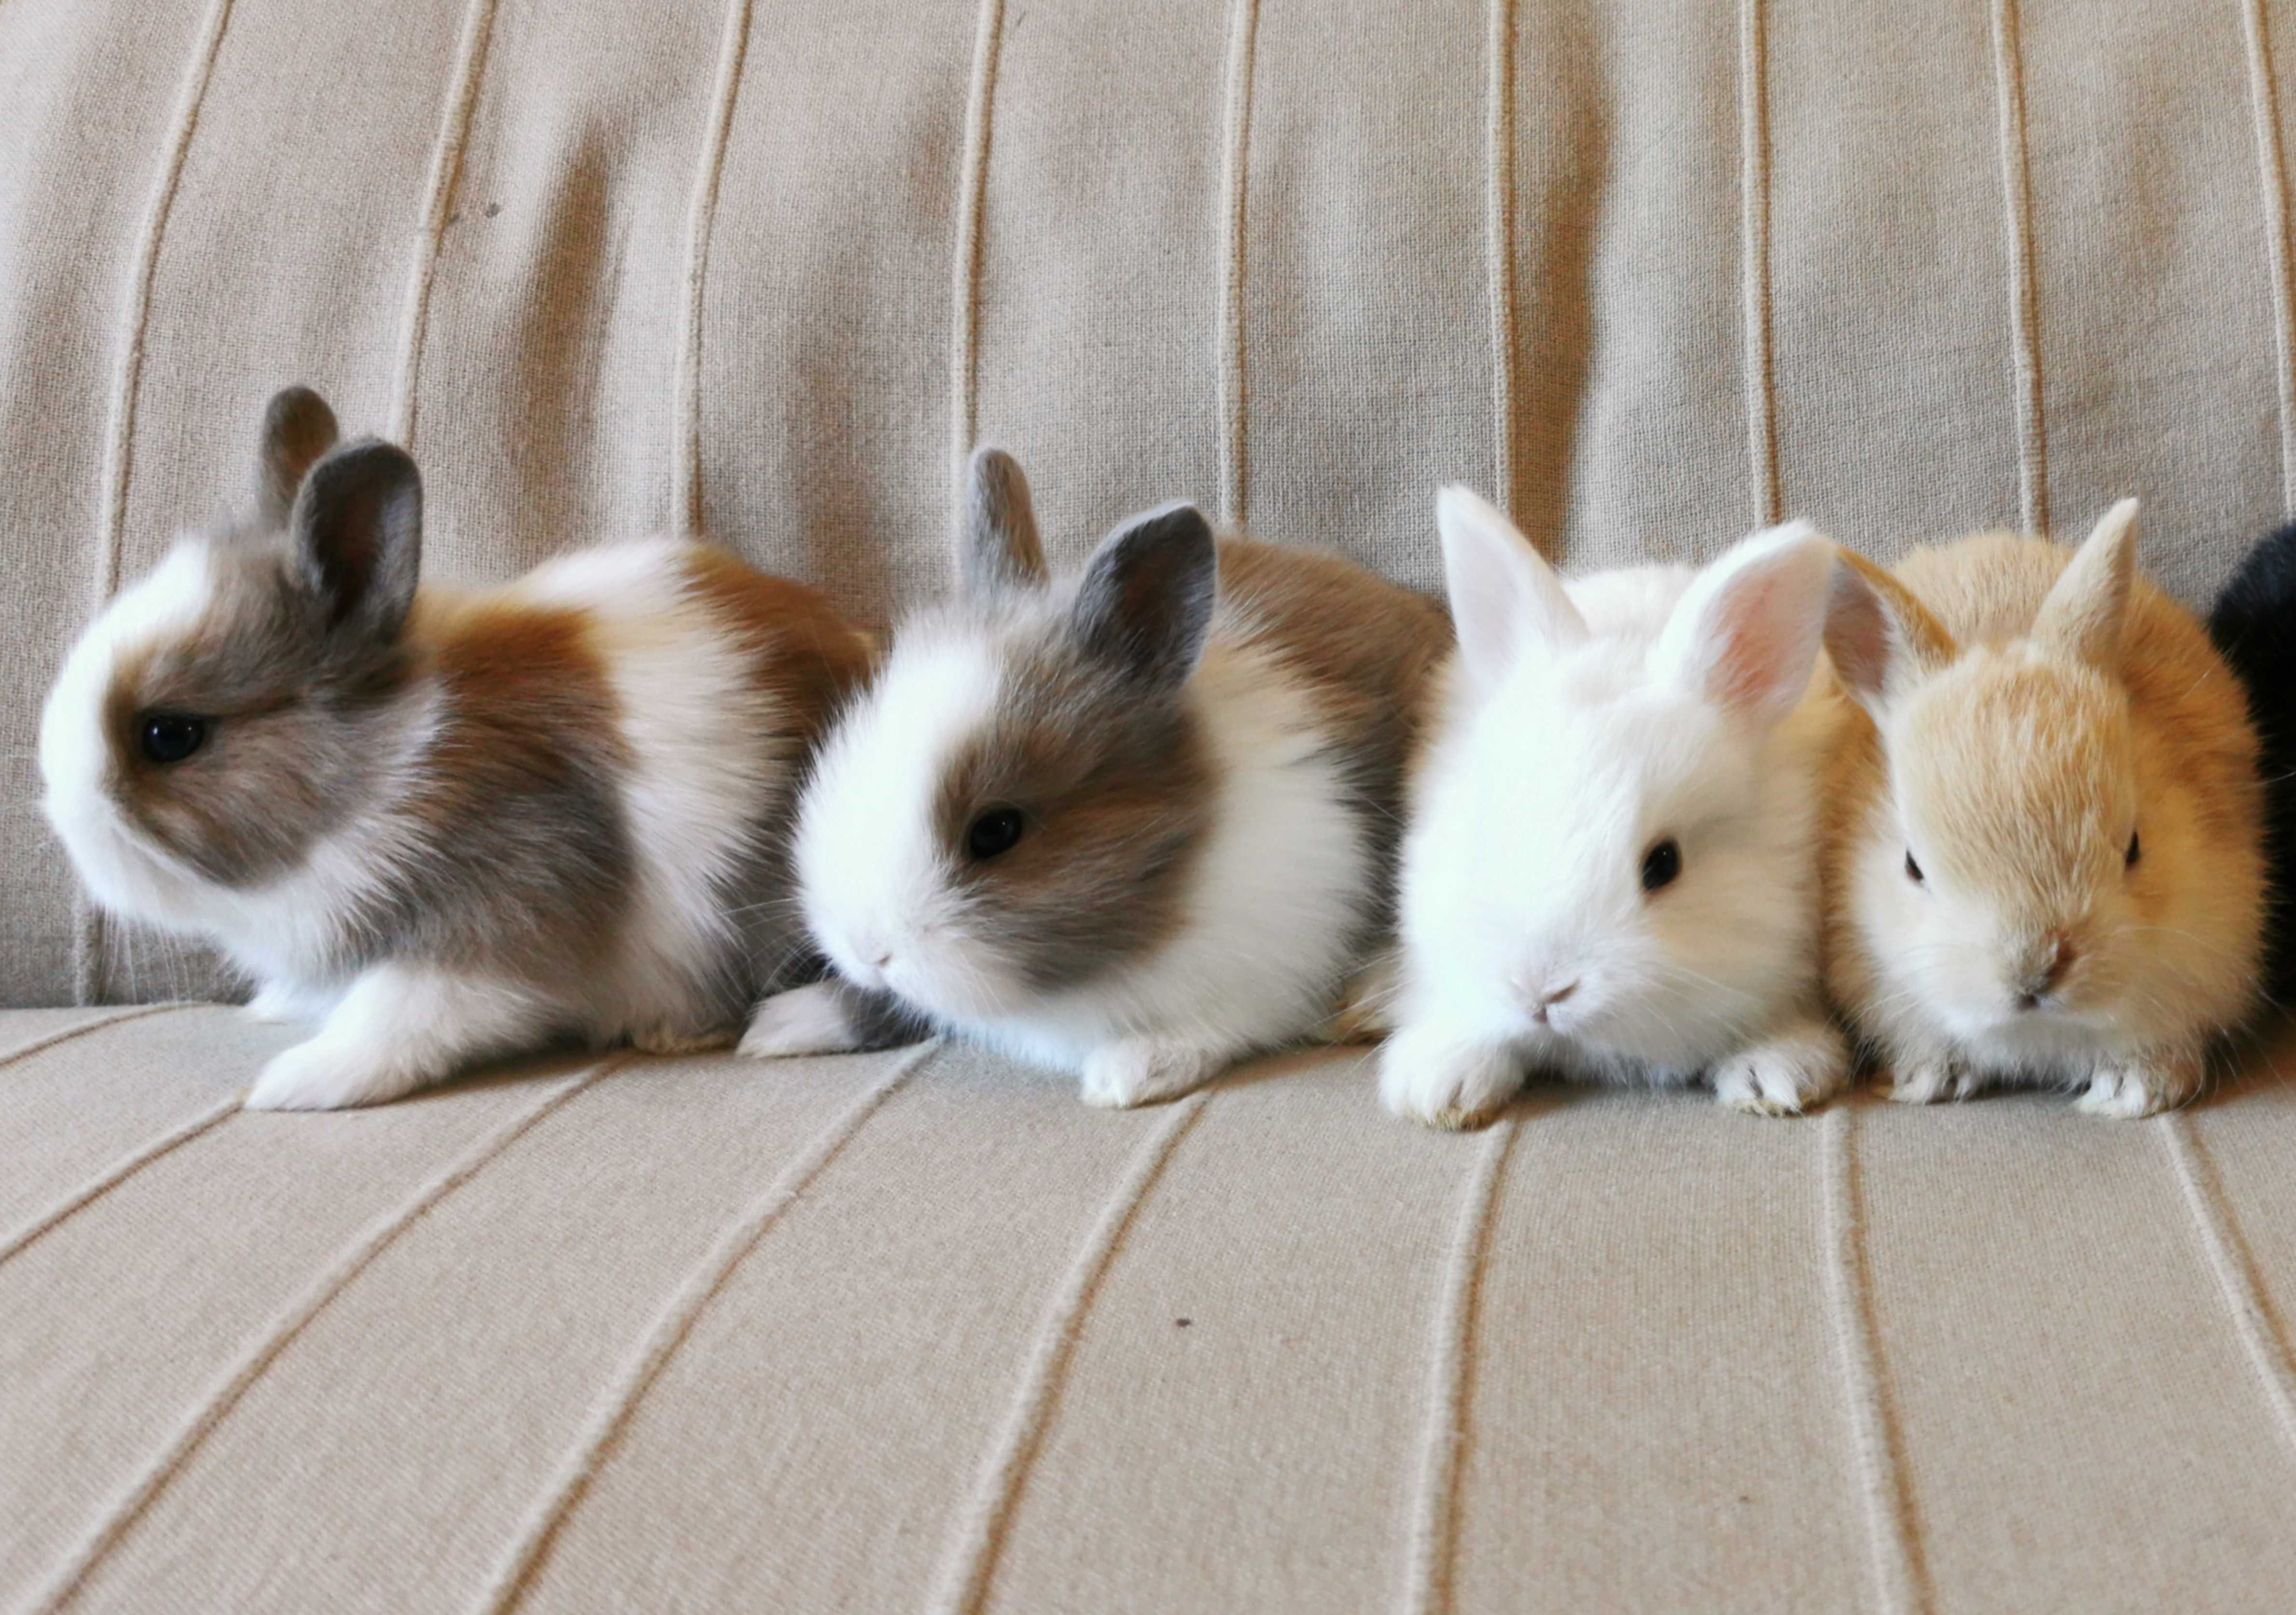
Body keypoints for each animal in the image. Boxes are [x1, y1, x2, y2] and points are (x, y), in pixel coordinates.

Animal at [36, 385, 877, 1110]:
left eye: (169, 735)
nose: (66, 819)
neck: (391, 768)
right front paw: (275, 1008)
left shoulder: (501, 905)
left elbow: (404, 1012)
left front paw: (300, 1081)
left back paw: (771, 1026)